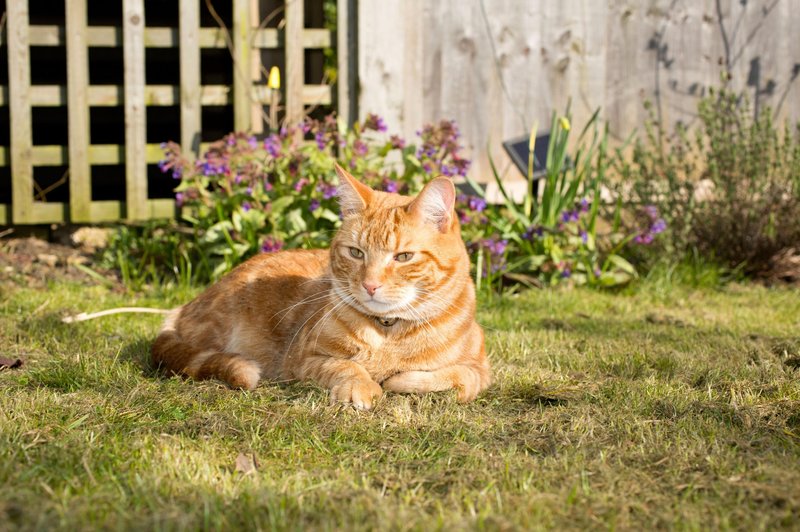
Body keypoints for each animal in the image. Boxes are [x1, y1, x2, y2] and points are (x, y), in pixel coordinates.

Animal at [149, 164, 488, 410]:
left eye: (403, 257)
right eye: (356, 253)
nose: (370, 285)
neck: (388, 330)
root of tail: (185, 307)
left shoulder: (481, 369)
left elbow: (451, 376)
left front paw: (395, 381)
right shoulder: (303, 361)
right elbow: (346, 367)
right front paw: (363, 386)